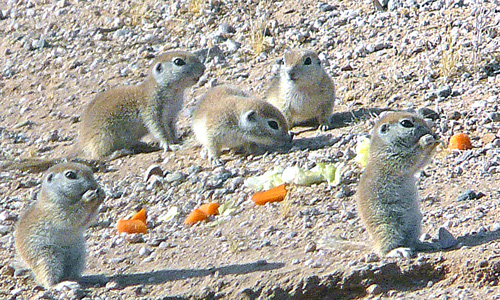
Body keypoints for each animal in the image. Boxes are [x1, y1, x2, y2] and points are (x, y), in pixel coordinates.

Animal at [356, 112, 438, 258]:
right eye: (406, 123)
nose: (429, 129)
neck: (385, 145)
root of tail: (374, 244)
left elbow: (421, 162)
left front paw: (436, 138)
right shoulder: (394, 158)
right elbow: (411, 156)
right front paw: (425, 140)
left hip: (415, 224)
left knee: (411, 242)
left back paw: (424, 244)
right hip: (387, 228)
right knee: (384, 251)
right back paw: (399, 251)